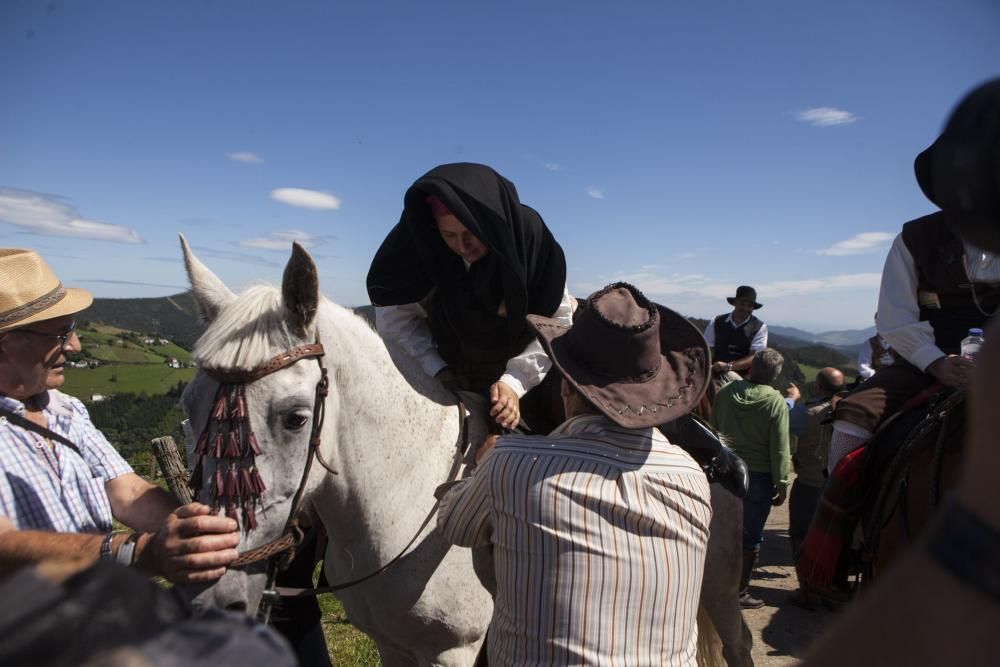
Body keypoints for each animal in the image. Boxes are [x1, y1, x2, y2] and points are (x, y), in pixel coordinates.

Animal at [176, 237, 752, 664]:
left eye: (295, 417)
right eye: (188, 409)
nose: (217, 600)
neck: (402, 501)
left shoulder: (452, 652)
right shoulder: (393, 647)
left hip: (720, 590)